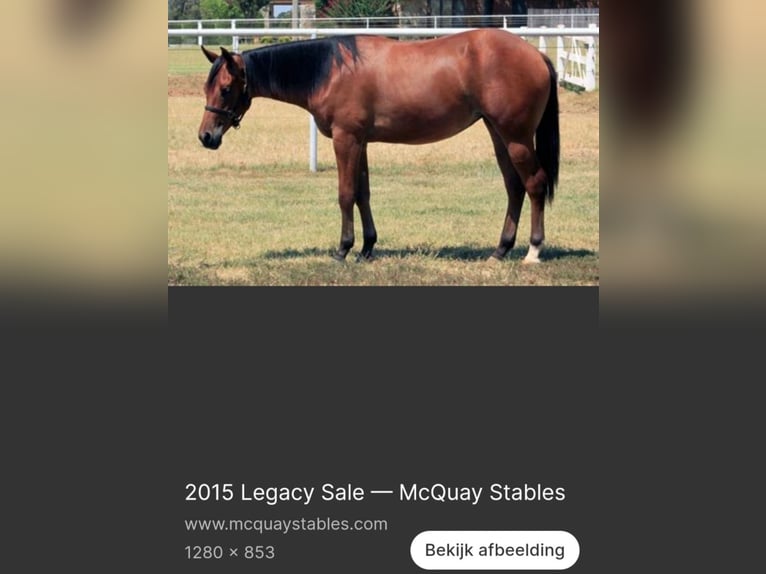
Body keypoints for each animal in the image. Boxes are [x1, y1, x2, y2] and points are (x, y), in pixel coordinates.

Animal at [198, 30, 560, 264]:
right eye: (207, 87)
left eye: (226, 89)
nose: (206, 137)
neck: (331, 70)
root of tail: (537, 55)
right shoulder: (360, 142)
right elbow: (363, 194)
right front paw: (366, 248)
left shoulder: (346, 139)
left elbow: (345, 195)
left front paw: (343, 250)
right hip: (499, 135)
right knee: (514, 187)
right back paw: (501, 250)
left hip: (516, 137)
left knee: (534, 184)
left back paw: (533, 252)